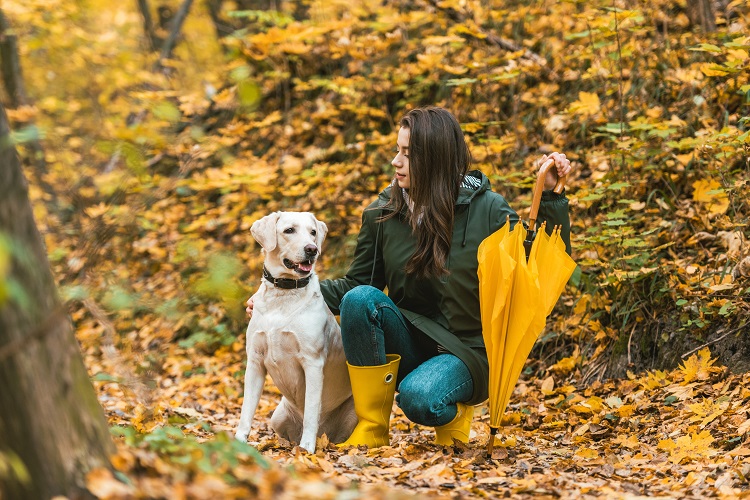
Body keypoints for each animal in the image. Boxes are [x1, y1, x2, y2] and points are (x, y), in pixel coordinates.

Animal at [234, 211, 356, 454]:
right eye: (289, 230)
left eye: (313, 232)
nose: (312, 249)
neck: (283, 293)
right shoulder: (255, 361)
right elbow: (246, 409)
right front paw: (238, 441)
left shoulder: (313, 363)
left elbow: (311, 410)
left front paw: (306, 449)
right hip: (278, 416)